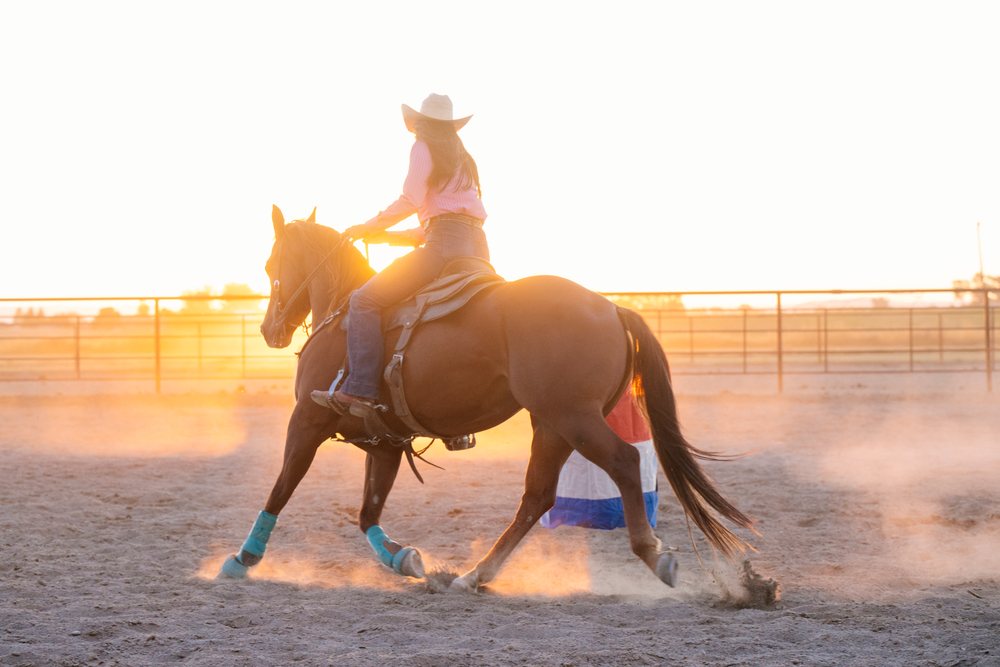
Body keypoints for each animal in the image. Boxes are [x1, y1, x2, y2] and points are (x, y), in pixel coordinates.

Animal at [218, 206, 755, 591]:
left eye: (271, 263)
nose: (269, 329)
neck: (345, 313)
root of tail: (609, 307)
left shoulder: (306, 420)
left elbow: (282, 488)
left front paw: (242, 559)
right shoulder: (385, 441)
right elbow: (368, 512)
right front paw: (404, 559)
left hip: (573, 418)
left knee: (622, 462)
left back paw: (654, 554)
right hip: (551, 424)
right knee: (537, 497)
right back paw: (475, 574)